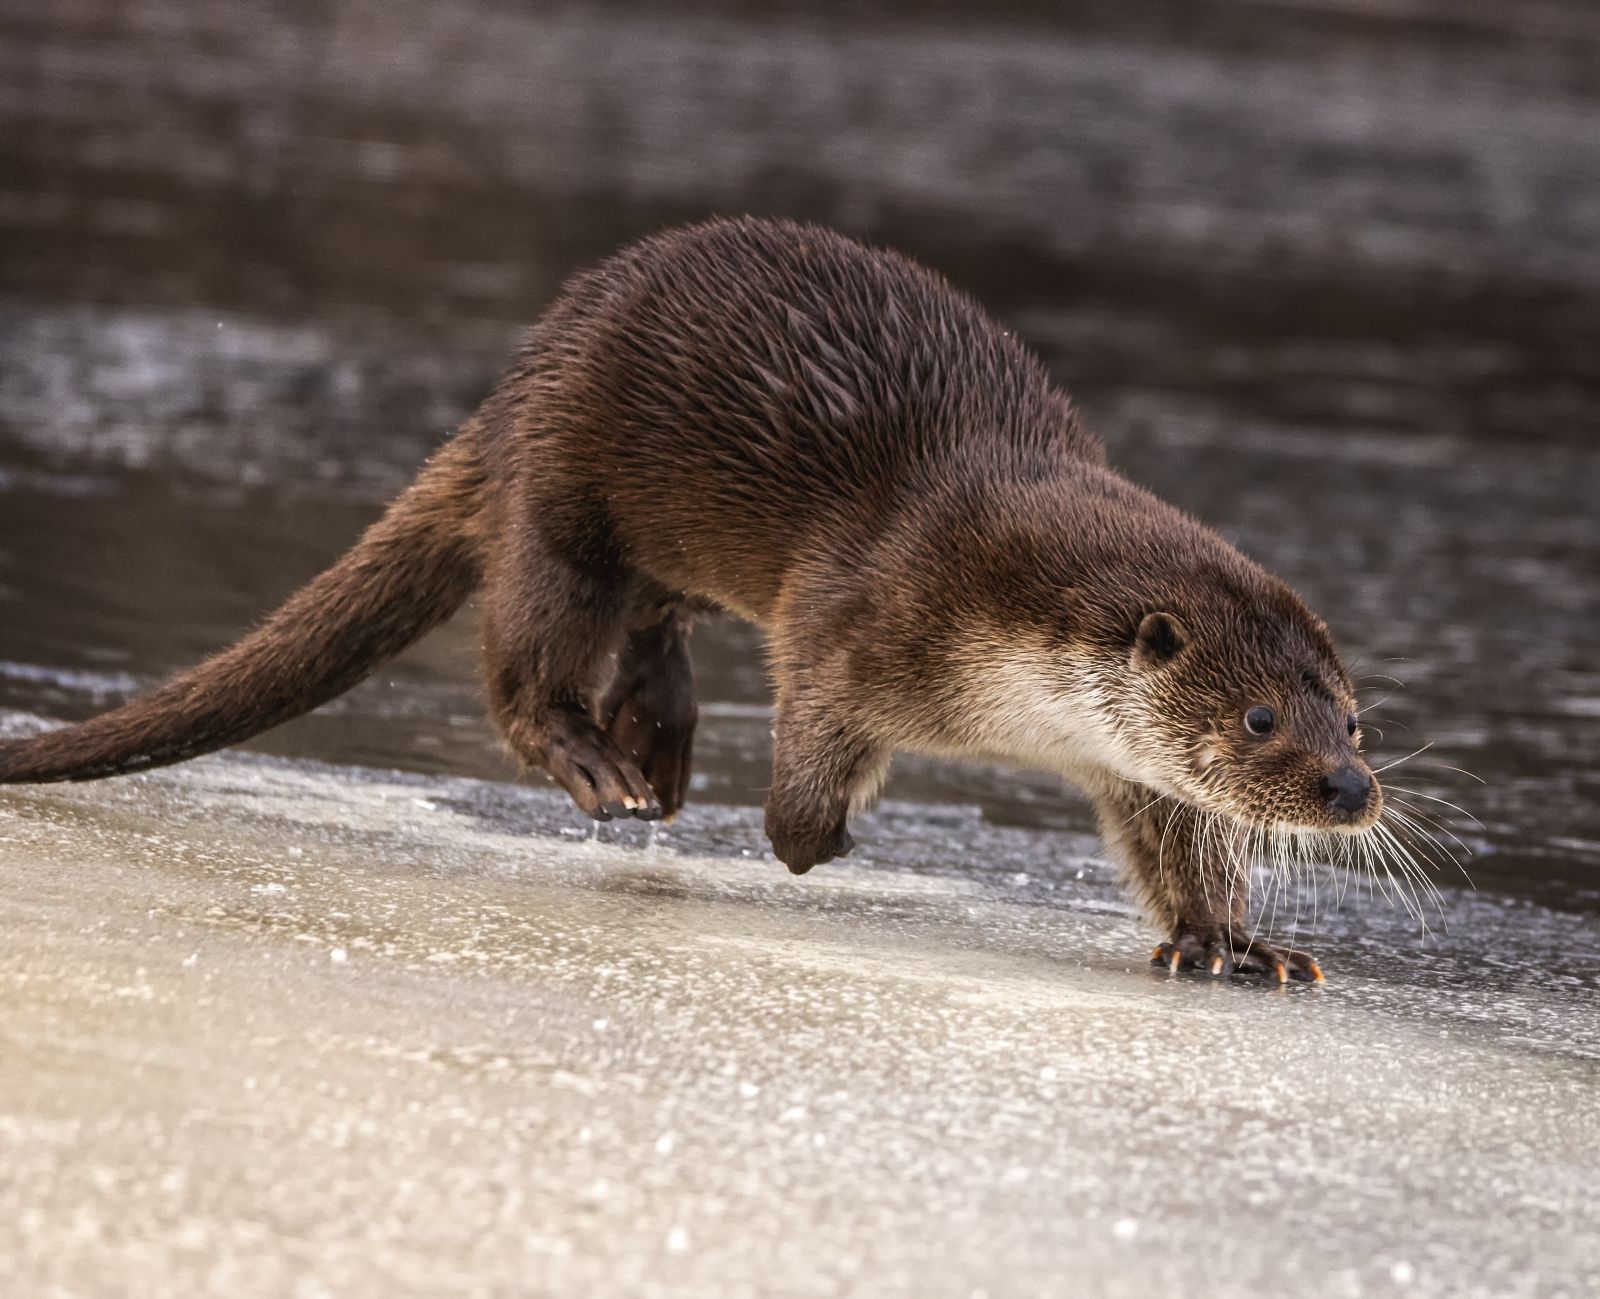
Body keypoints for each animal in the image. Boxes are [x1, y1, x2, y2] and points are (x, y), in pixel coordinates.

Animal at [0, 217, 1382, 979]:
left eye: (1353, 719)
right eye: (1261, 720)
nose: (1353, 791)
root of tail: (523, 374)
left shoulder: (1123, 769)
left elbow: (1178, 841)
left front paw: (1228, 944)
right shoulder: (861, 615)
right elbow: (811, 739)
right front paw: (811, 840)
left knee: (655, 625)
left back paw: (656, 747)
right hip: (565, 496)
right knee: (526, 650)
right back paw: (595, 759)